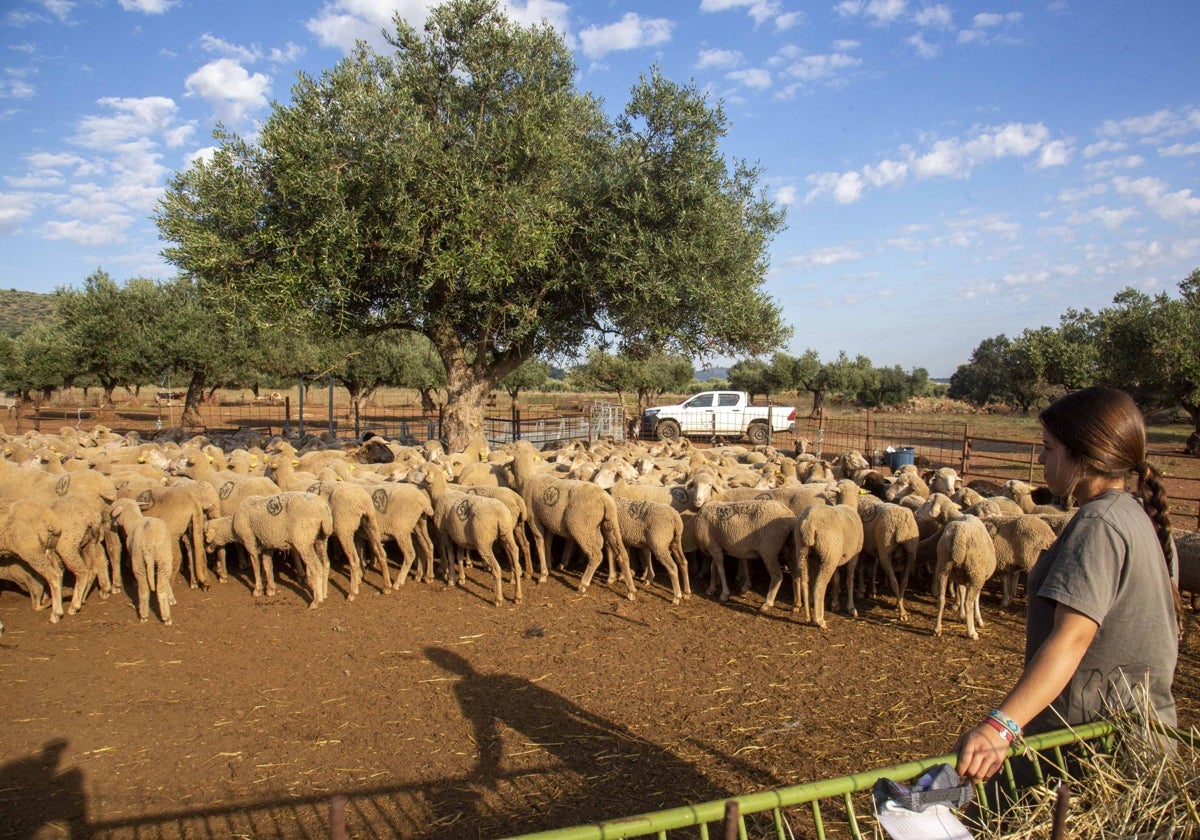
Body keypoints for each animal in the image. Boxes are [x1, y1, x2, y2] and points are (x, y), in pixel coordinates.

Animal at [506, 444, 638, 600]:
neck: (527, 479)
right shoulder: (549, 521)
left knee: (596, 555)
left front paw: (543, 575)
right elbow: (548, 543)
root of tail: (604, 498)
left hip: (581, 527)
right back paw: (631, 590)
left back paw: (583, 584)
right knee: (622, 554)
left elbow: (540, 543)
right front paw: (549, 566)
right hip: (610, 524)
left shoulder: (534, 519)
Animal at [796, 482, 864, 628]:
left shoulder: (838, 556)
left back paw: (808, 616)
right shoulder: (854, 556)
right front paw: (851, 608)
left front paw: (835, 604)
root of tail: (809, 523)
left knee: (805, 581)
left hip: (803, 552)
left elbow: (836, 579)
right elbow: (849, 579)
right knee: (819, 586)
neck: (849, 506)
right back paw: (819, 619)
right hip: (828, 556)